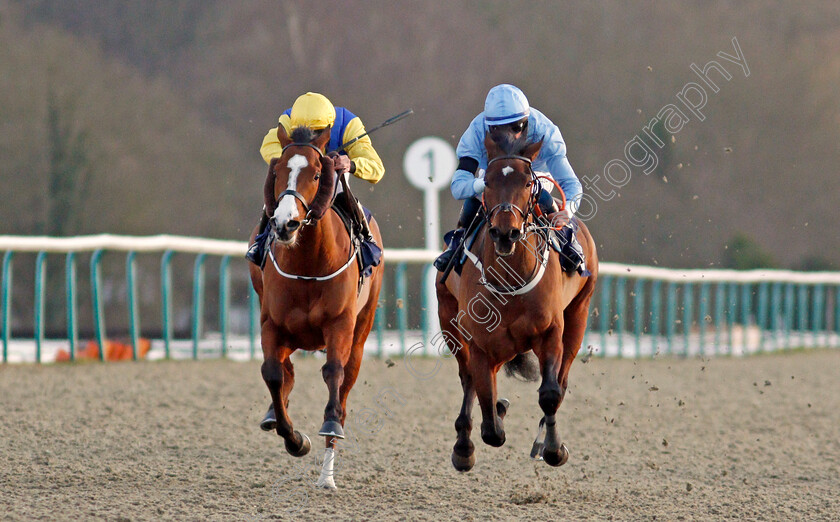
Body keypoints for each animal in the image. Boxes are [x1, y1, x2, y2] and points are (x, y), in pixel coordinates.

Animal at [246, 123, 384, 488]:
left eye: (319, 172)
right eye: (278, 171)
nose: (285, 223)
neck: (308, 263)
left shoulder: (340, 325)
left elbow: (333, 372)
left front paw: (328, 424)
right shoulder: (272, 324)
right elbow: (273, 373)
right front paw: (294, 439)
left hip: (361, 331)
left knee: (345, 383)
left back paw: (327, 475)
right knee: (284, 371)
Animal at [436, 132, 600, 470]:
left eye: (527, 183)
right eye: (487, 182)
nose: (505, 232)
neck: (511, 279)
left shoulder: (550, 332)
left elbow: (550, 393)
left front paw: (553, 448)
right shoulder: (481, 343)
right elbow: (488, 418)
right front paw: (486, 423)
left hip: (578, 315)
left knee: (562, 380)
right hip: (451, 324)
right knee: (468, 378)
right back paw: (464, 445)